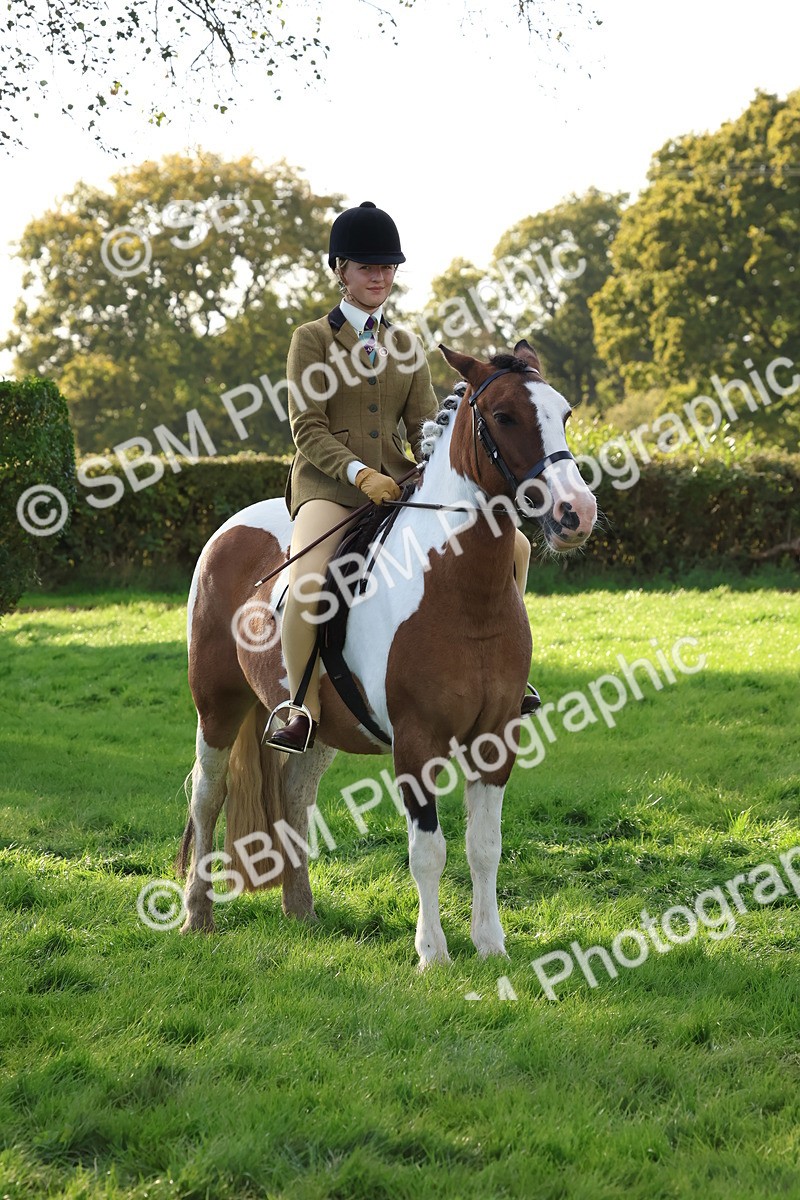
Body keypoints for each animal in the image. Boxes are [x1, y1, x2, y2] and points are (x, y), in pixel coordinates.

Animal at [177, 339, 597, 968]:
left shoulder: (497, 737)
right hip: (218, 705)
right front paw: (433, 955)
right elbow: (428, 851)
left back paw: (301, 909)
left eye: (564, 413)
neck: (461, 591)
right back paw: (196, 917)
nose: (577, 513)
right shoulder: (417, 742)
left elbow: (484, 846)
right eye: (504, 417)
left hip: (318, 724)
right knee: (208, 795)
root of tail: (231, 528)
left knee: (295, 794)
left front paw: (490, 946)